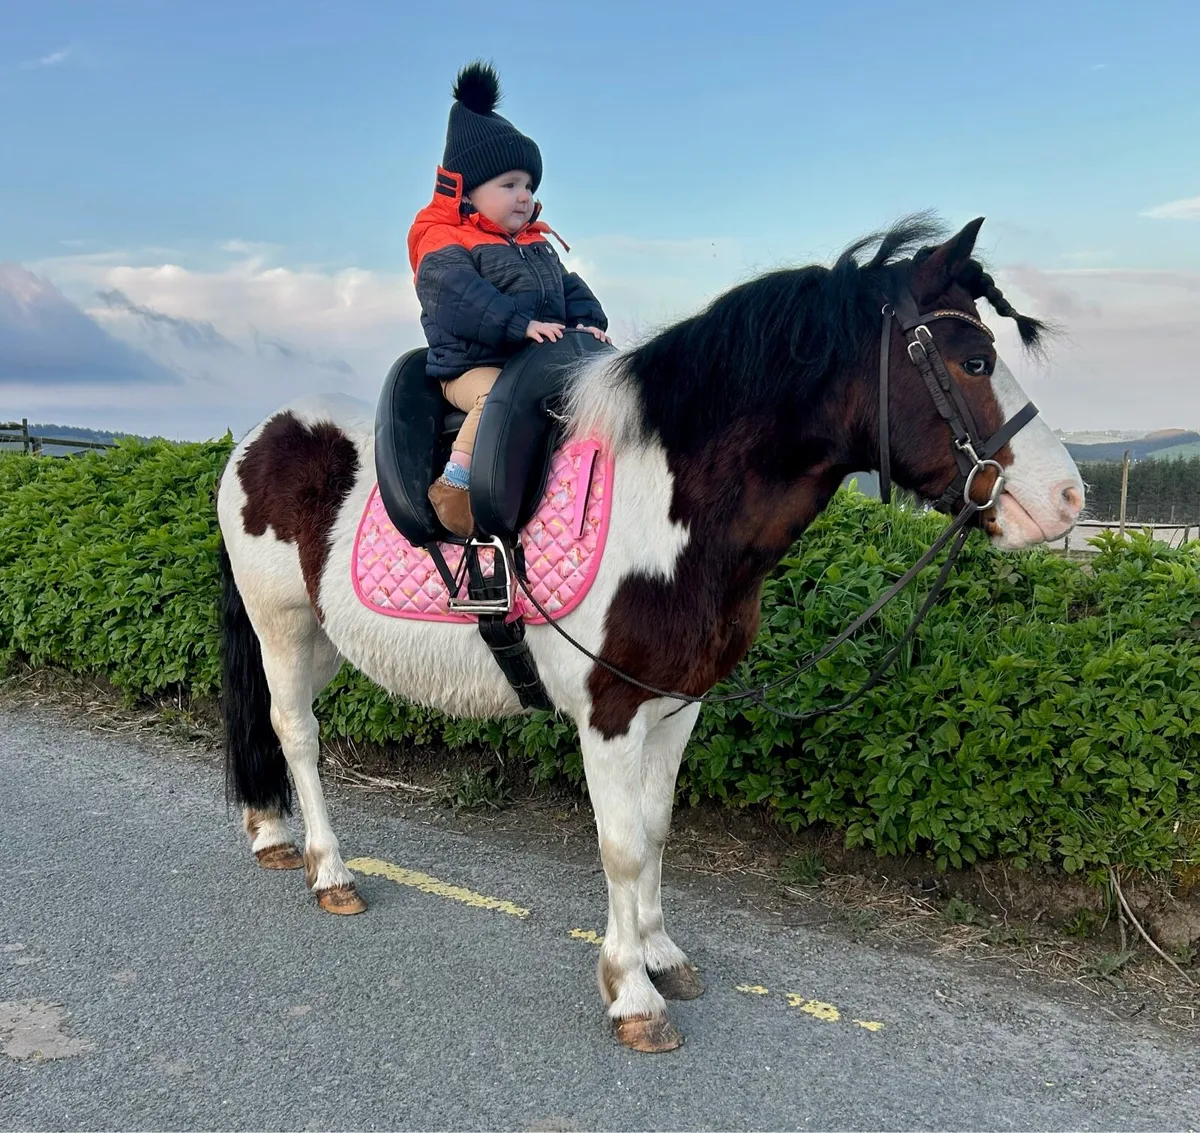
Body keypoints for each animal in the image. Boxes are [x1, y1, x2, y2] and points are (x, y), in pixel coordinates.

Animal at [215, 216, 1084, 1052]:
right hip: (280, 624)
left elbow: (659, 829)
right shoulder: (610, 713)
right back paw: (330, 870)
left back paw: (271, 831)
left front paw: (662, 954)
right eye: (974, 361)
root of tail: (253, 440)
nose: (1069, 499)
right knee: (296, 733)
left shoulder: (676, 703)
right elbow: (622, 844)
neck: (673, 504)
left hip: (324, 641)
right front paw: (632, 992)